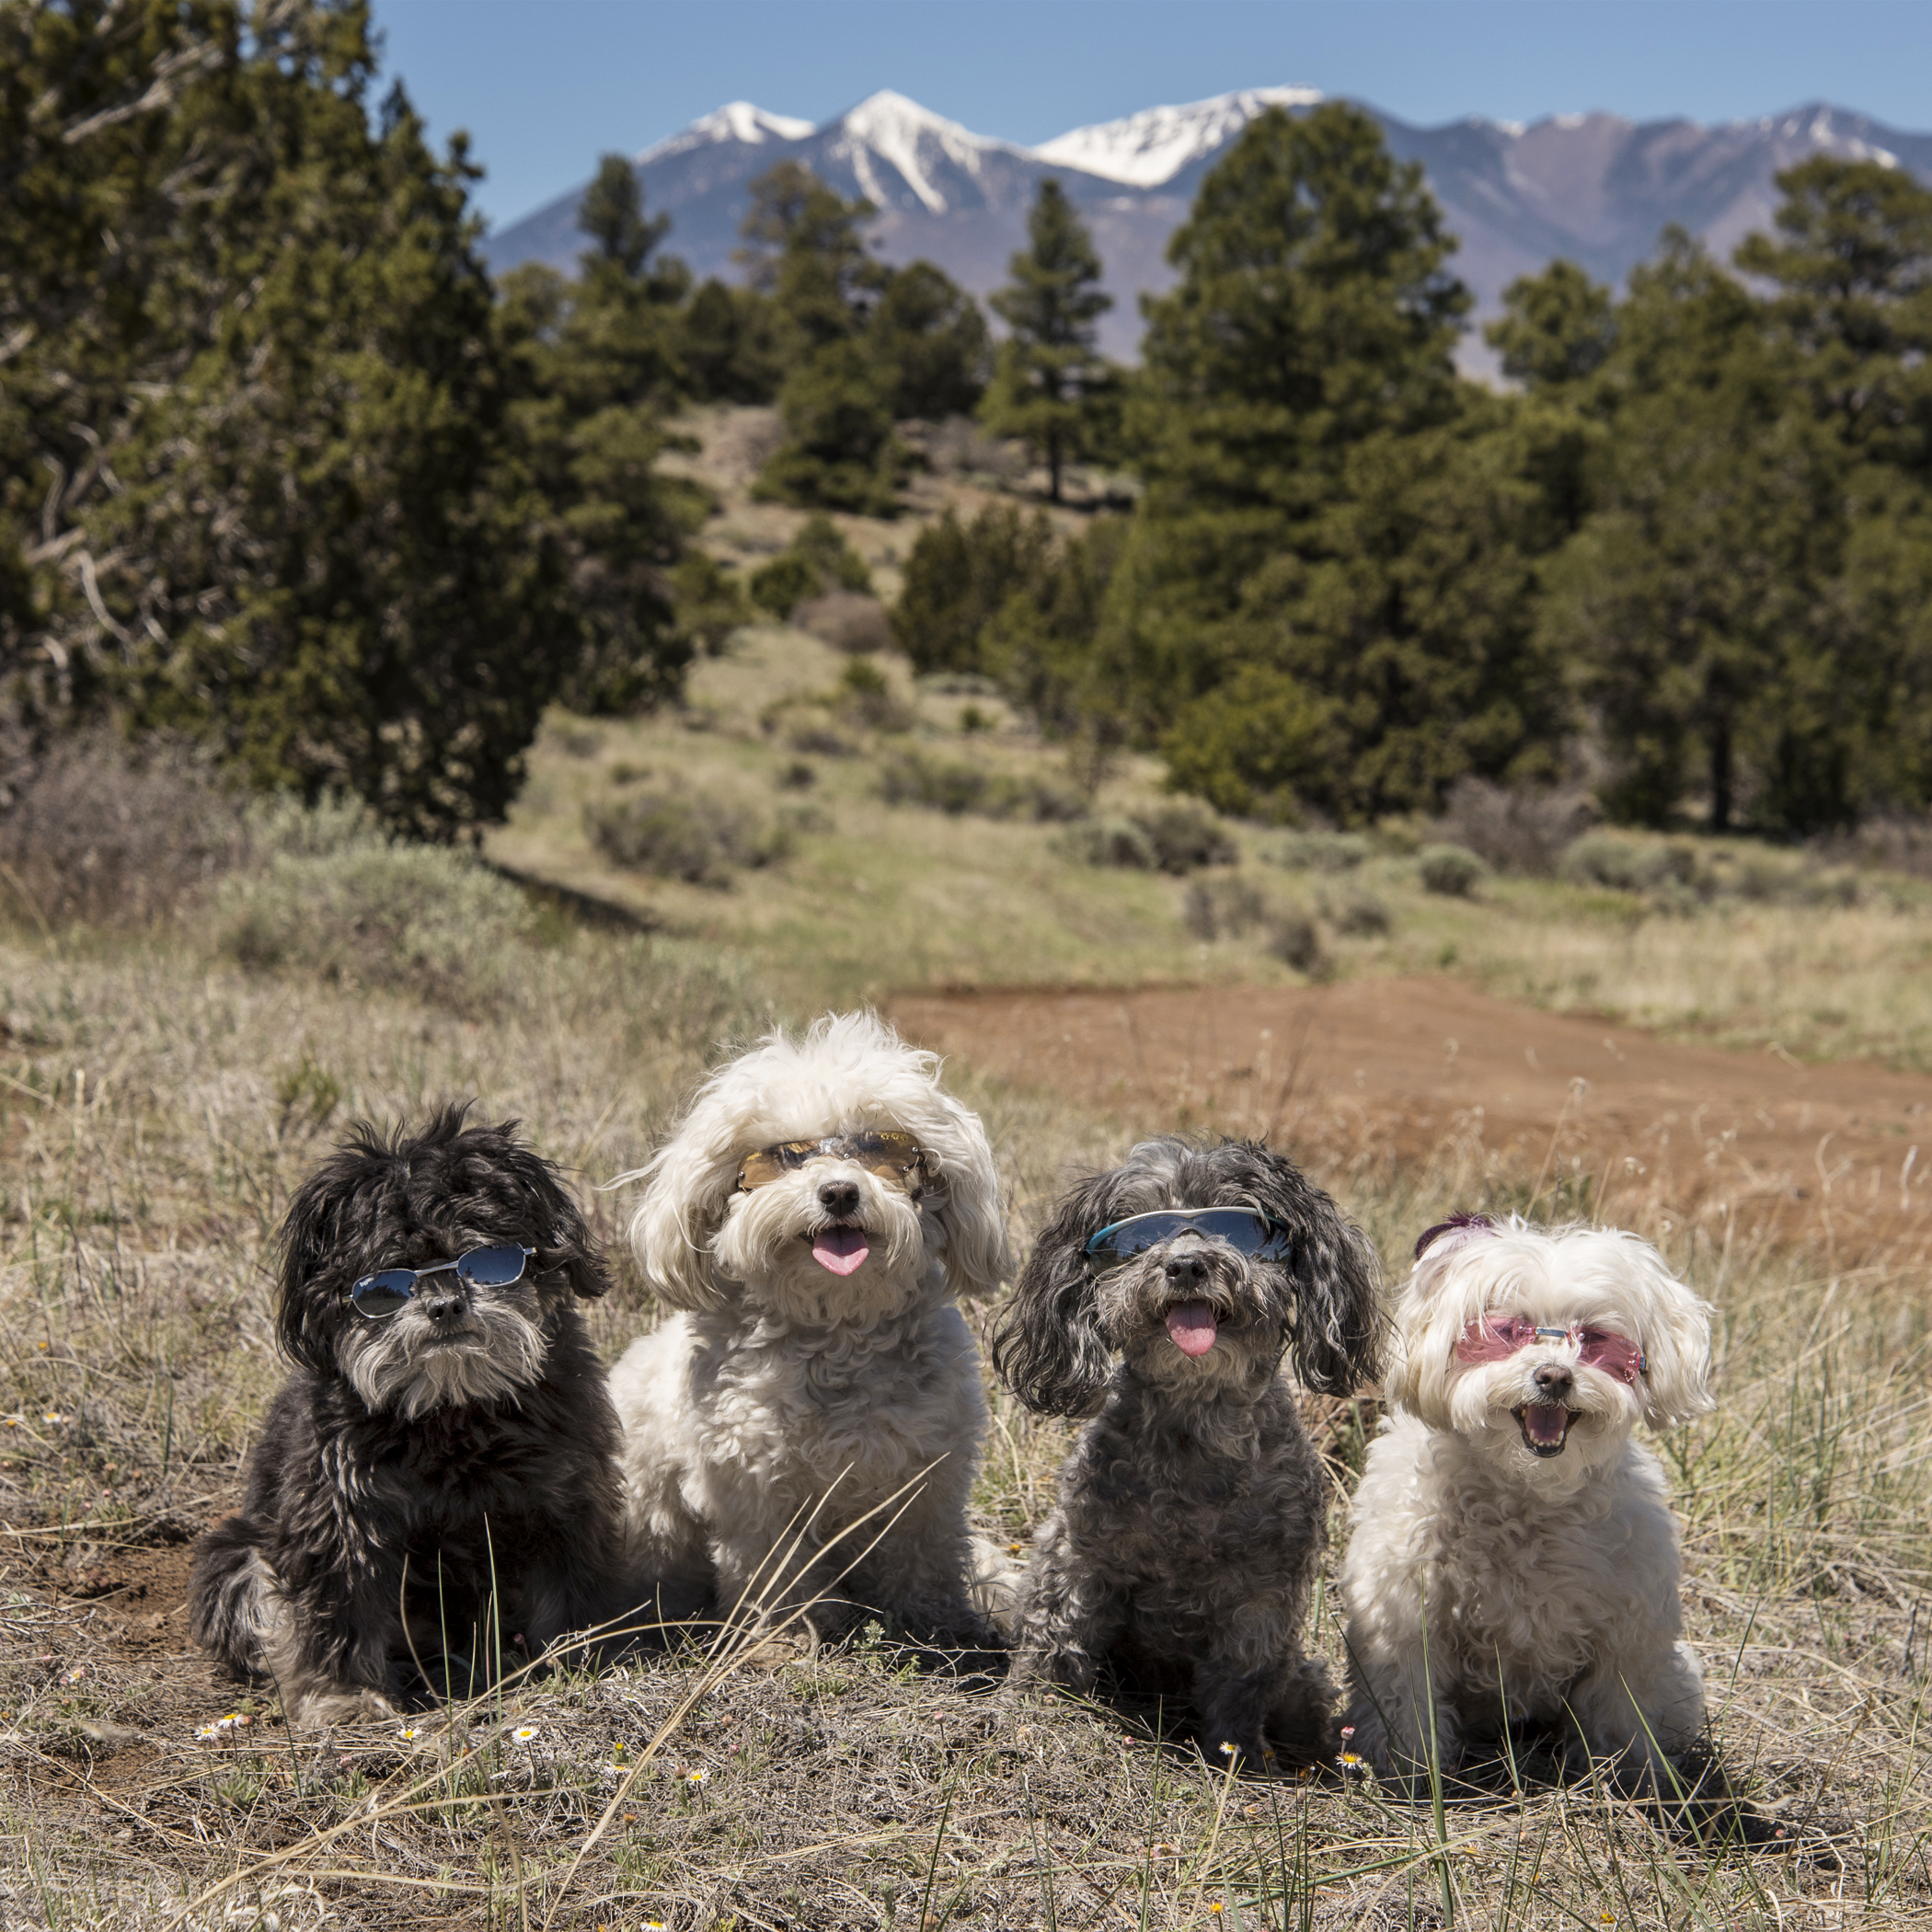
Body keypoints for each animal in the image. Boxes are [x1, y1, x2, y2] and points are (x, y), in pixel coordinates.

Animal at [187, 1112, 629, 1731]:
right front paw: (345, 1698)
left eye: (485, 1257)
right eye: (384, 1281)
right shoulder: (338, 1519)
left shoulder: (567, 1502)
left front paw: (583, 1660)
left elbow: (572, 1593)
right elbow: (337, 1613)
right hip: (230, 1560)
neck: (453, 1413)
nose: (444, 1305)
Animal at [610, 1012, 1012, 1646]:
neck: (836, 1328)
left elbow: (925, 1557)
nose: (840, 1191)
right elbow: (773, 1569)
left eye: (883, 1151)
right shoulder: (754, 1486)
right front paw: (786, 1635)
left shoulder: (929, 1479)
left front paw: (935, 1622)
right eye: (784, 1157)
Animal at [989, 1135, 1383, 1769]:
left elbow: (1242, 1683)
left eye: (1238, 1225)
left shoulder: (1263, 1596)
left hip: (1304, 1678)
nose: (1187, 1265)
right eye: (1138, 1235)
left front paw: (1238, 1755)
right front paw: (1028, 1713)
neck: (1195, 1431)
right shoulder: (1079, 1556)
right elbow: (1054, 1640)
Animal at [1337, 1213, 1715, 1785]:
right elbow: (1407, 1705)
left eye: (1596, 1339)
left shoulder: (1630, 1637)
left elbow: (1622, 1715)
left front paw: (1628, 1779)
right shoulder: (1404, 1617)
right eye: (1506, 1332)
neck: (1525, 1493)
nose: (1554, 1376)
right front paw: (1412, 1769)